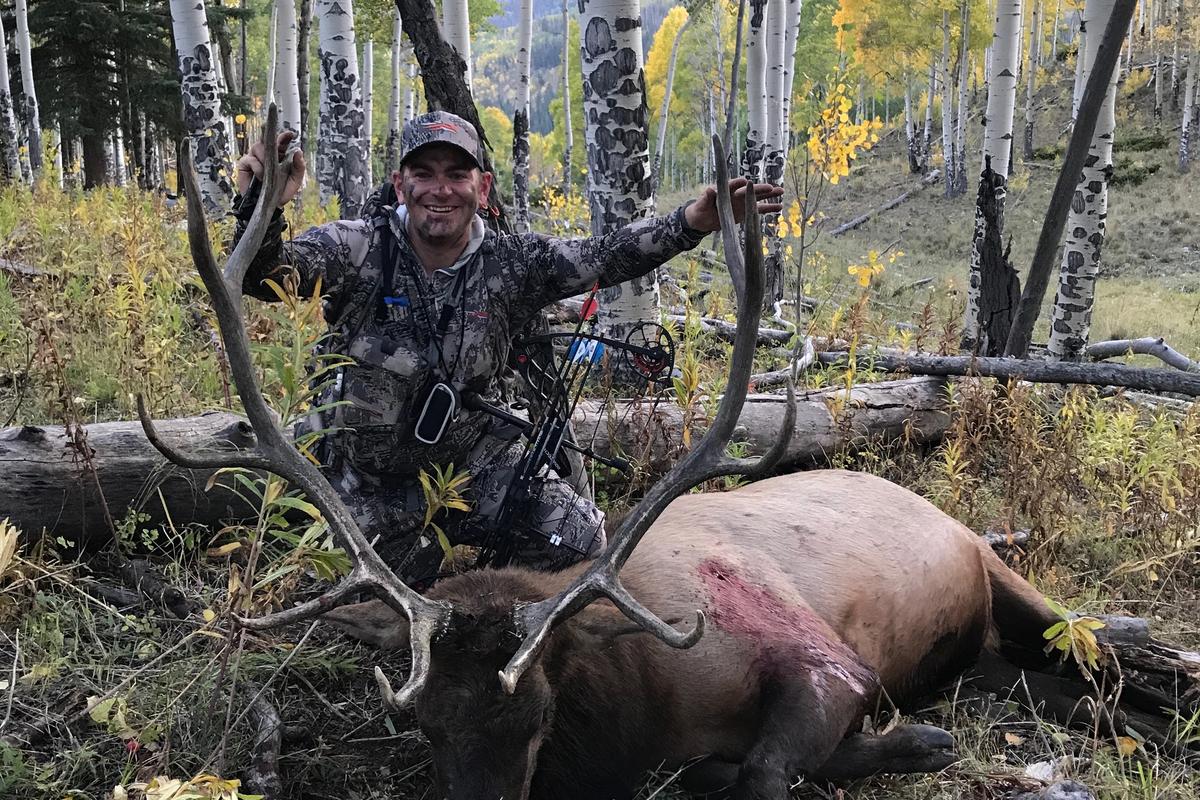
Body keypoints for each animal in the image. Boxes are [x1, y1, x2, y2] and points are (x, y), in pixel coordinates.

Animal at [141, 110, 1069, 800]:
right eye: (426, 724)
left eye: (537, 716)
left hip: (998, 571)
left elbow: (764, 769)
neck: (648, 703)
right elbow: (730, 770)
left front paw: (919, 738)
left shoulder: (825, 658)